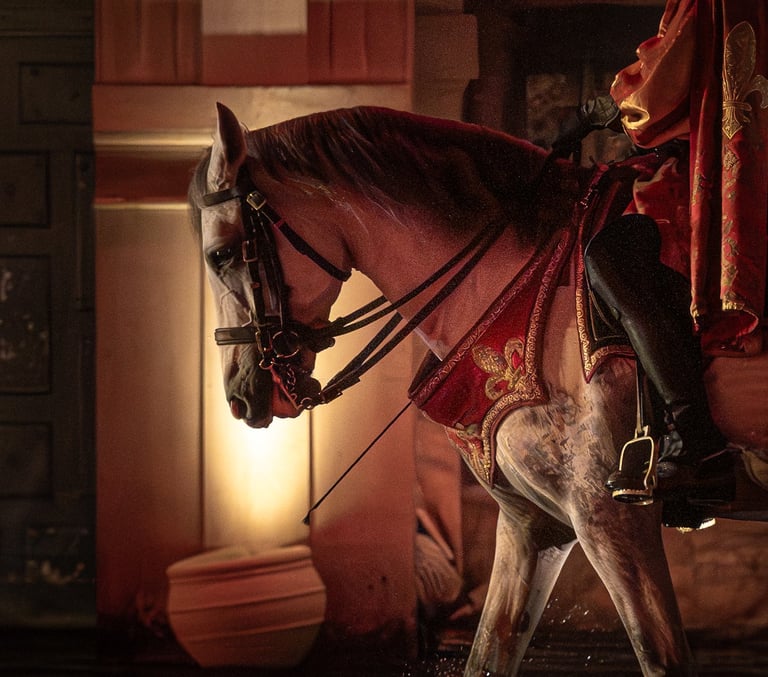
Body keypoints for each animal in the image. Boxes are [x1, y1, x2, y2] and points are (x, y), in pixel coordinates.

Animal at [189, 103, 768, 676]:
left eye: (220, 255)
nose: (240, 396)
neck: (521, 286)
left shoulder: (611, 518)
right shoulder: (534, 526)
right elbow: (489, 652)